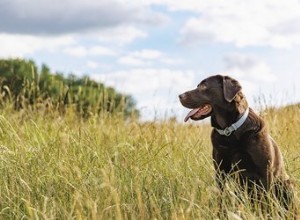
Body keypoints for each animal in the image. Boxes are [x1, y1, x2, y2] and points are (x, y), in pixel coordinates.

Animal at [179, 74, 294, 213]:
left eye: (203, 86)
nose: (179, 96)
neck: (230, 131)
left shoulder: (265, 173)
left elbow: (267, 201)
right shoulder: (220, 172)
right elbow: (221, 197)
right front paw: (220, 214)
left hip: (288, 184)